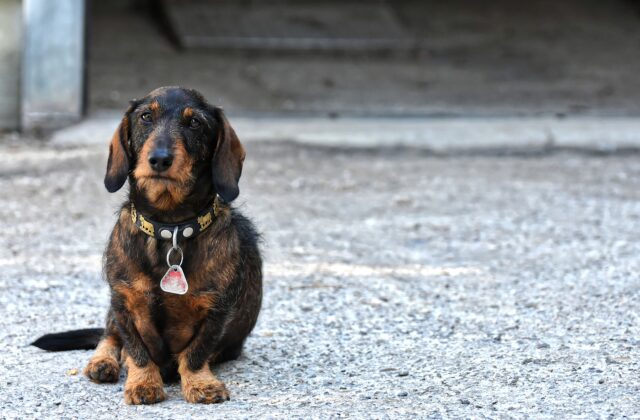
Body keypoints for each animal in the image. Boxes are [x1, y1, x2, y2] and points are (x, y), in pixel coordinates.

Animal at [31, 87, 262, 406]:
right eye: (145, 117)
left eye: (195, 123)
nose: (160, 159)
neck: (170, 228)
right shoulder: (123, 302)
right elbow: (135, 348)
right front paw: (143, 381)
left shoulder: (216, 309)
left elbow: (196, 352)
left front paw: (200, 383)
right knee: (108, 336)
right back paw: (103, 362)